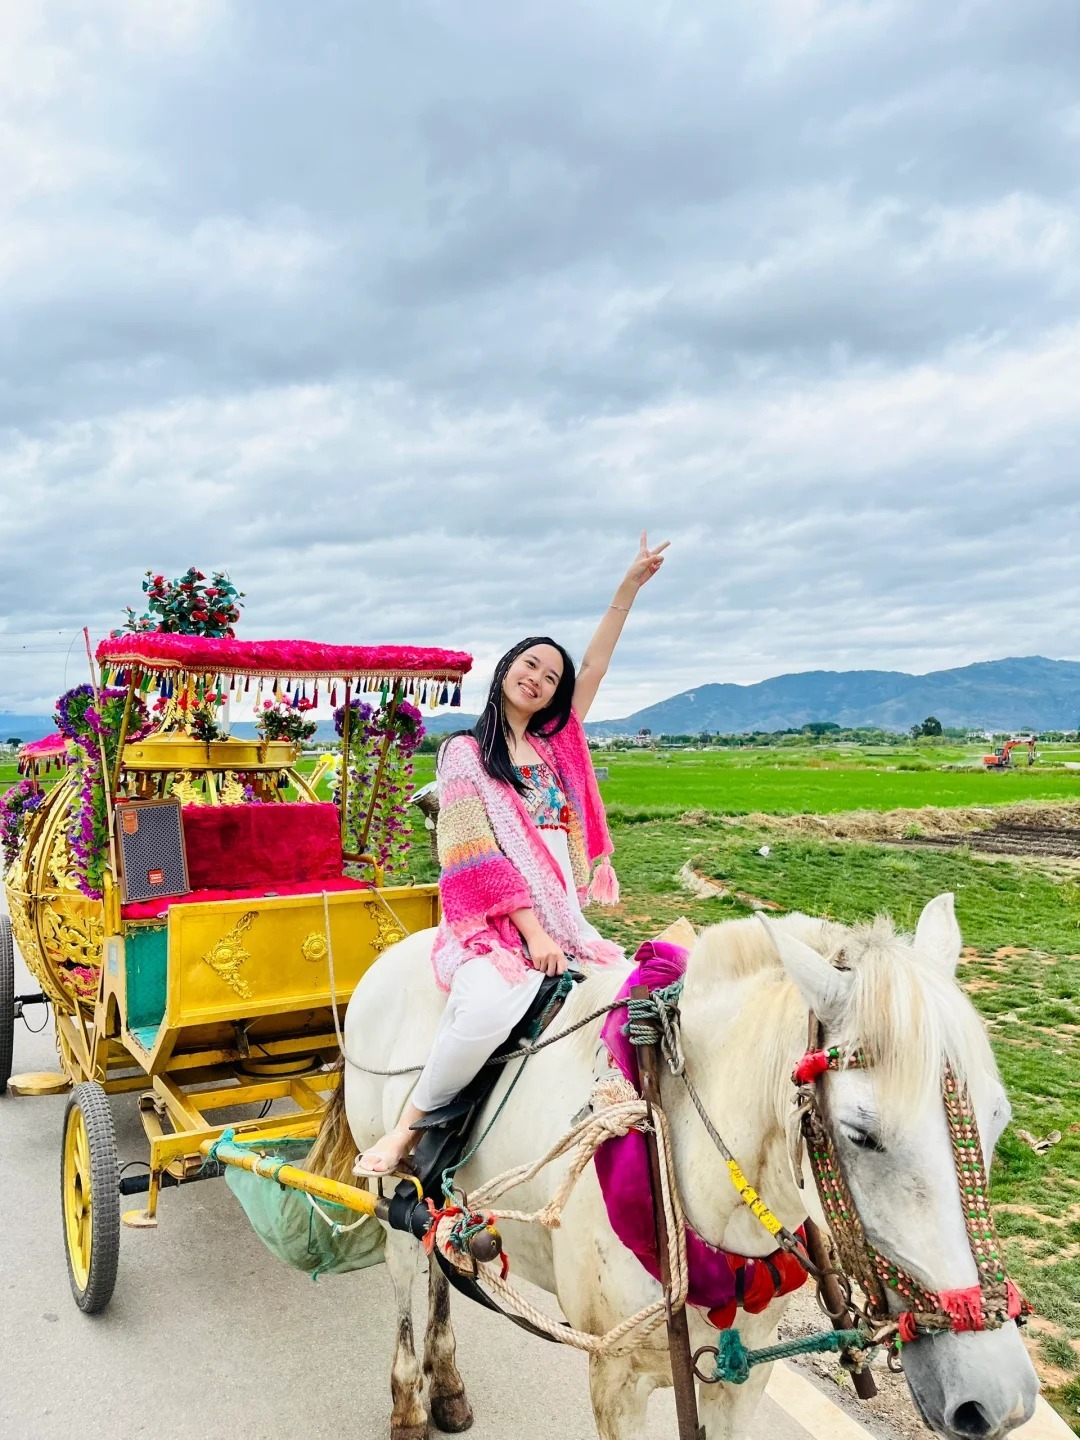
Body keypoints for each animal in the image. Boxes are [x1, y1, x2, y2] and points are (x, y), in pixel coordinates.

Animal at [311, 893, 1038, 1440]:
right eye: (861, 1135)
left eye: (998, 1118)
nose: (999, 1399)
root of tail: (397, 952)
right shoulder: (616, 1378)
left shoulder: (740, 1378)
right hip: (391, 1184)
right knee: (406, 1266)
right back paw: (410, 1403)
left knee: (441, 1256)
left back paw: (448, 1386)